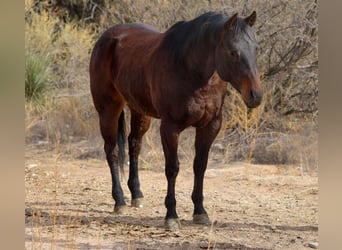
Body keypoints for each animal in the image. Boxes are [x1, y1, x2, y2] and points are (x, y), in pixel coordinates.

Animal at [89, 11, 264, 230]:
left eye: (255, 48)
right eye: (233, 52)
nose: (255, 95)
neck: (190, 70)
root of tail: (107, 37)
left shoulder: (210, 126)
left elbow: (200, 166)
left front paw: (200, 212)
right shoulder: (170, 128)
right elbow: (172, 168)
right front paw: (171, 215)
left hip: (140, 110)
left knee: (134, 145)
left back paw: (136, 195)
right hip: (108, 109)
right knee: (111, 152)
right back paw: (119, 201)